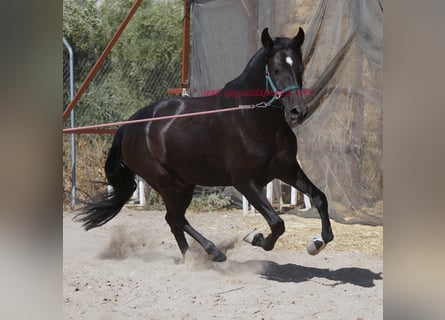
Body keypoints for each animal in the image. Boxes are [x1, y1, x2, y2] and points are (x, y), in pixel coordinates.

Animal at [77, 27, 332, 262]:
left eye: (299, 68)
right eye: (276, 70)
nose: (298, 112)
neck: (253, 120)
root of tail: (129, 125)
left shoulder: (287, 170)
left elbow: (320, 198)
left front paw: (317, 242)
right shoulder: (244, 182)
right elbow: (277, 222)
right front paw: (256, 238)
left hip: (184, 183)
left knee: (173, 220)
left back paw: (190, 256)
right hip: (167, 183)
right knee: (176, 218)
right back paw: (213, 252)